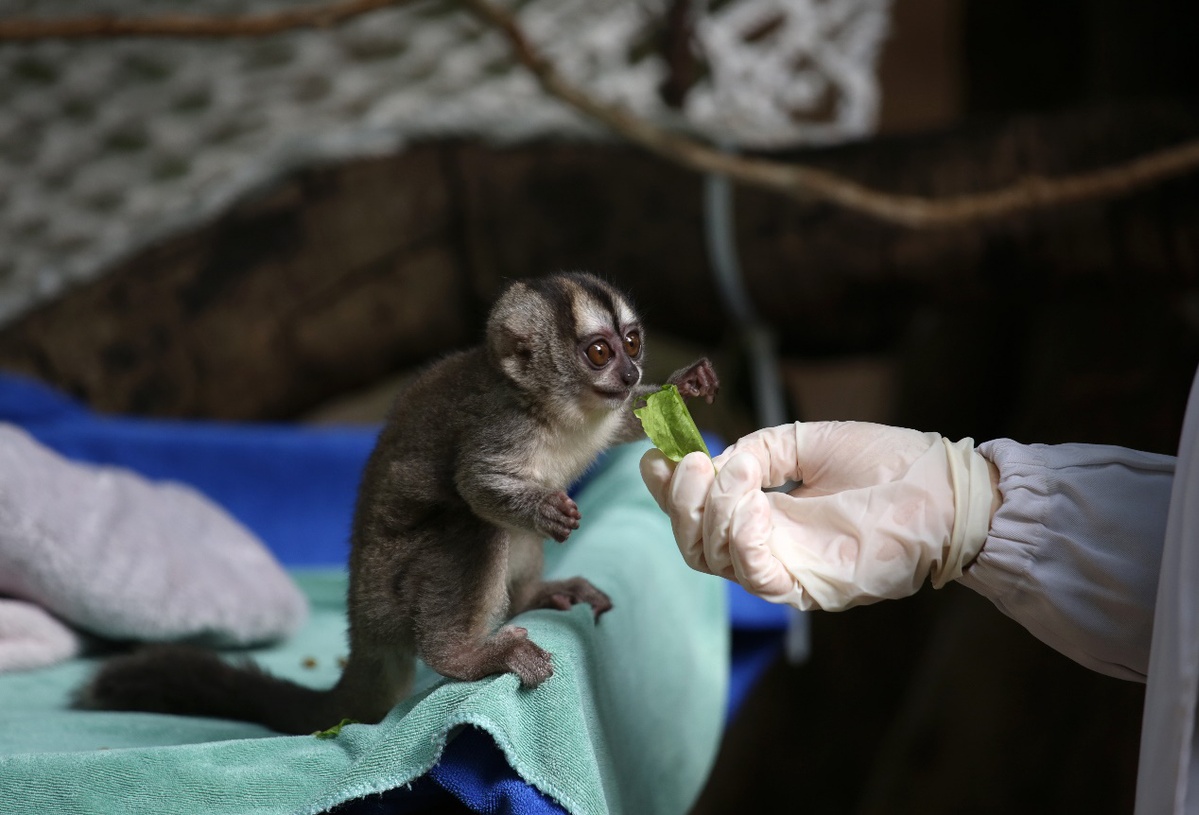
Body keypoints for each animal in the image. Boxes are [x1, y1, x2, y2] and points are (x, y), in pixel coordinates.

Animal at [84, 270, 719, 733]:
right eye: (599, 353)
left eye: (632, 343)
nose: (631, 370)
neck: (558, 409)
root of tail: (361, 626)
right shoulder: (500, 426)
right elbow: (475, 484)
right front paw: (544, 509)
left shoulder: (600, 415)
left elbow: (628, 419)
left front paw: (683, 387)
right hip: (394, 593)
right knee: (474, 527)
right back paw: (463, 658)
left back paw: (534, 596)